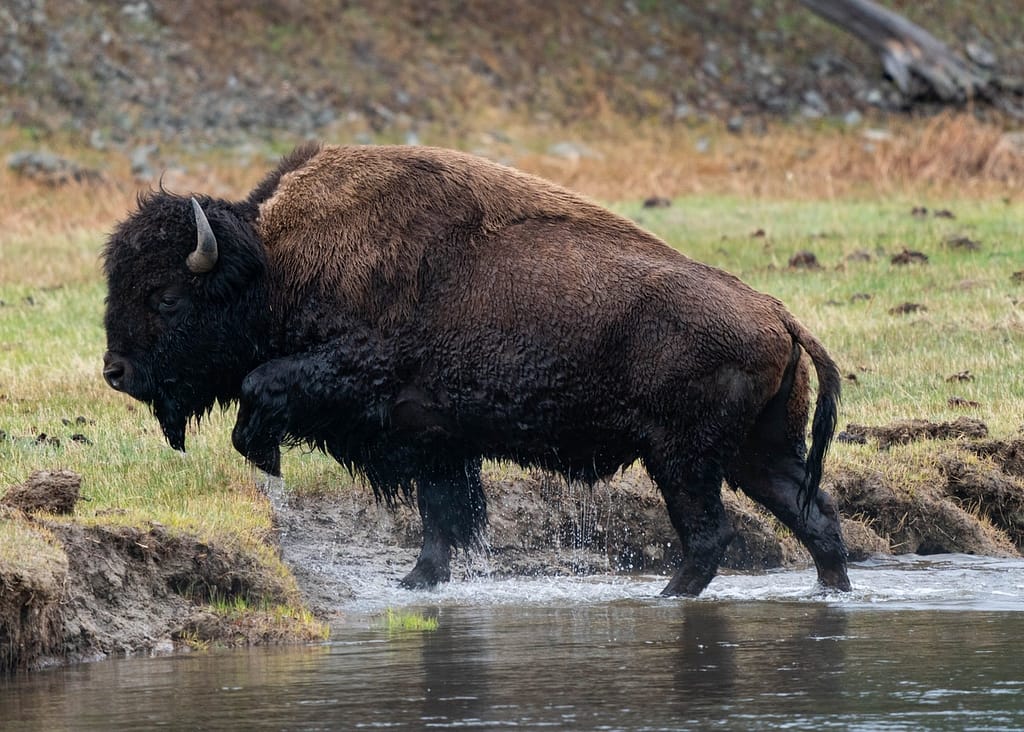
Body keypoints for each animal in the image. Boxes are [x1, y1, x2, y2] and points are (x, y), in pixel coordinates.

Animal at [101, 143, 847, 593]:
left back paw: (666, 598)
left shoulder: (360, 381)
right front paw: (416, 583)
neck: (272, 265)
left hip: (683, 458)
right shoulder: (436, 439)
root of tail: (777, 313)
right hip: (756, 451)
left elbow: (264, 389)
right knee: (815, 517)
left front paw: (264, 454)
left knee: (708, 535)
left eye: (164, 296)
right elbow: (442, 520)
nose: (115, 371)